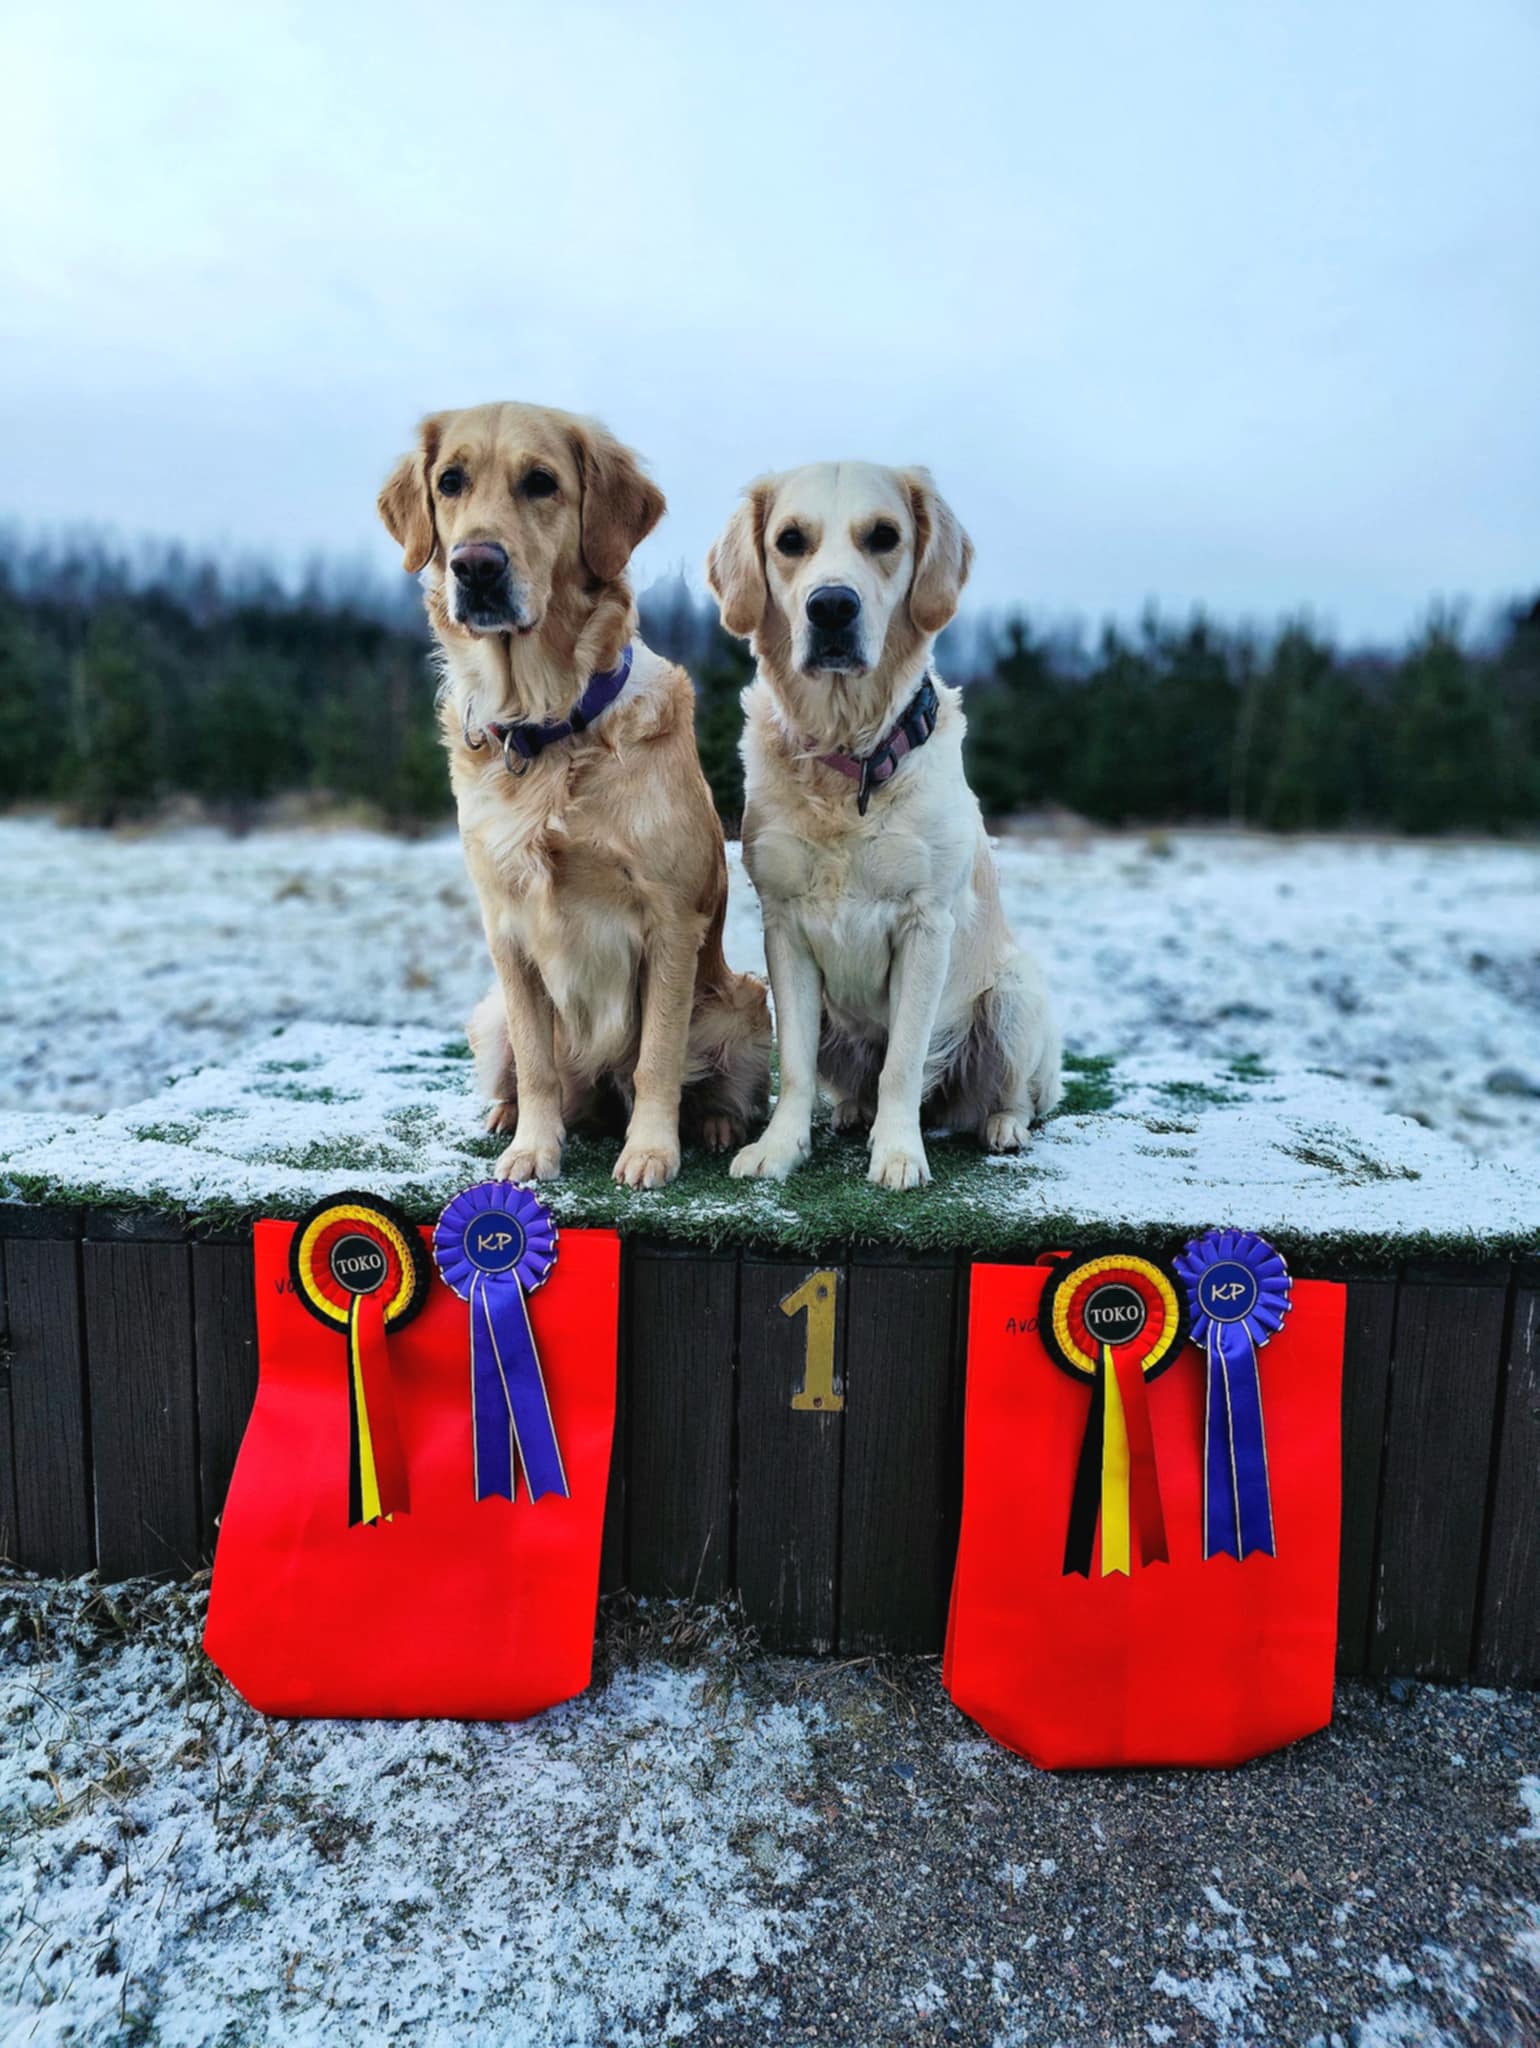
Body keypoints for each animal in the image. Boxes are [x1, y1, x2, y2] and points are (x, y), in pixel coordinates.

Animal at [379, 401, 769, 1187]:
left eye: (541, 482)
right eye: (451, 481)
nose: (476, 564)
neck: (546, 726)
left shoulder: (671, 922)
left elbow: (656, 1057)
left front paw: (650, 1151)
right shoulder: (506, 929)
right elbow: (537, 1065)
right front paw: (533, 1148)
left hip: (744, 1002)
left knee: (711, 1079)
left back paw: (714, 1124)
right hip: (489, 1014)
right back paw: (505, 1116)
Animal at [706, 460, 1060, 1190]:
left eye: (884, 536)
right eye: (791, 540)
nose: (831, 607)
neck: (851, 761)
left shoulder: (926, 925)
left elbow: (903, 1061)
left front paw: (898, 1154)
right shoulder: (784, 926)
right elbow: (796, 1067)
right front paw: (780, 1148)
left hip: (1014, 995)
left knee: (1020, 1094)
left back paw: (1002, 1126)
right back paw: (850, 1114)